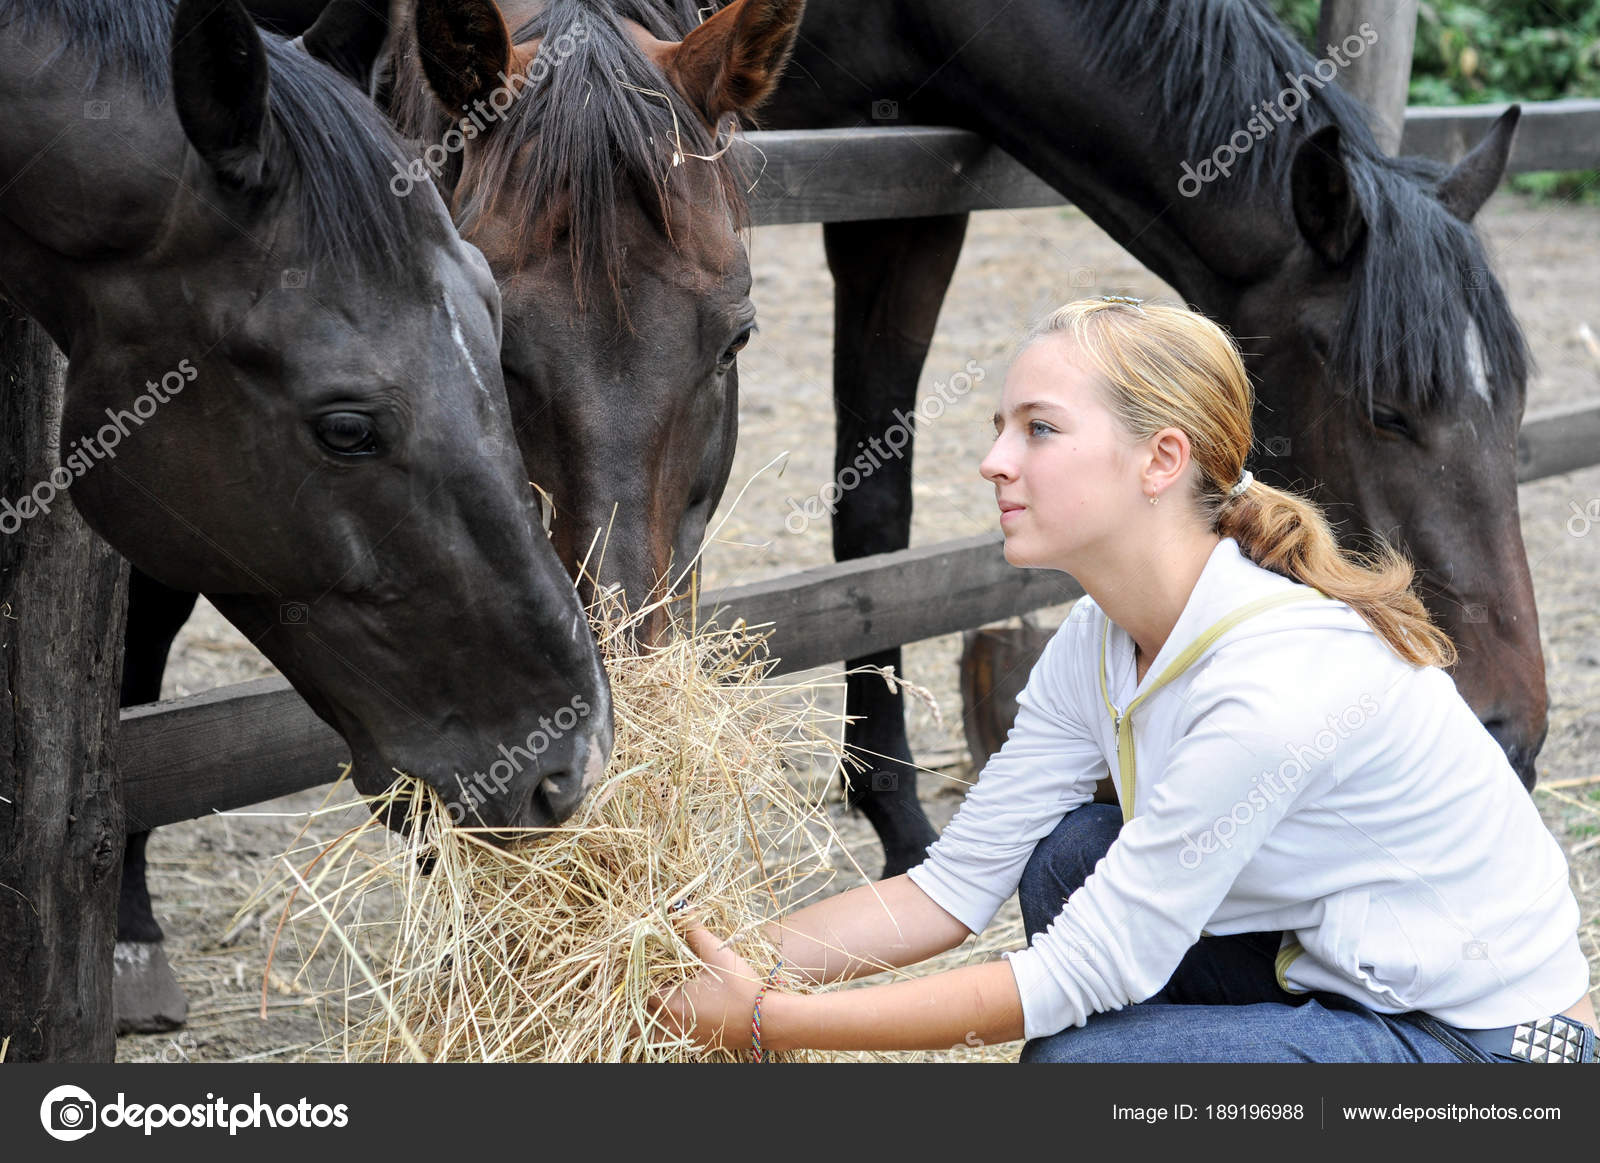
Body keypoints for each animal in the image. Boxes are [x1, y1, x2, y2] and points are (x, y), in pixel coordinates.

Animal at [758, 0, 1548, 870]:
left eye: (1516, 403)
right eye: (1387, 412)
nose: (1512, 735)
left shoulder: (905, 219)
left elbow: (873, 520)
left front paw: (895, 815)